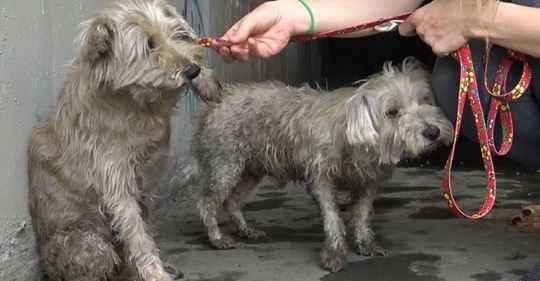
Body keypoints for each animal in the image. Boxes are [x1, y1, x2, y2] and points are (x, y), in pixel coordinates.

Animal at [26, 0, 221, 280]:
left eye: (177, 34)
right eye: (149, 45)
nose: (192, 71)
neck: (136, 104)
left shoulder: (145, 183)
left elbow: (143, 229)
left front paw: (206, 80)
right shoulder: (117, 183)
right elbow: (137, 235)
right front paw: (155, 273)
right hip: (87, 243)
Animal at [192, 58, 454, 272]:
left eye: (424, 100)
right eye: (392, 112)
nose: (433, 132)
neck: (353, 136)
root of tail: (222, 96)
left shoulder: (368, 183)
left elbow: (360, 215)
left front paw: (364, 243)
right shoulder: (321, 180)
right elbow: (332, 219)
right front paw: (335, 254)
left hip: (251, 170)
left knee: (232, 201)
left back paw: (246, 230)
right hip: (226, 165)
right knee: (207, 202)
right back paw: (217, 238)